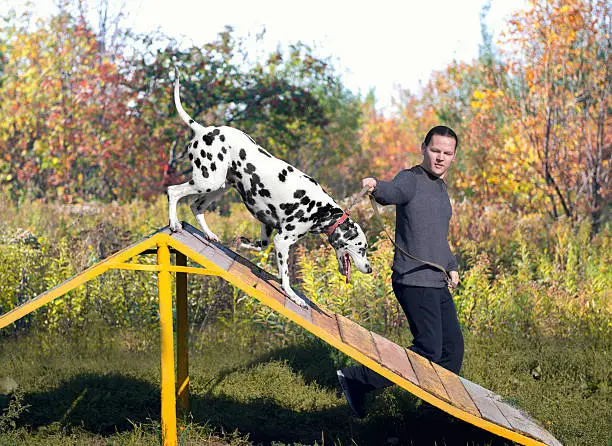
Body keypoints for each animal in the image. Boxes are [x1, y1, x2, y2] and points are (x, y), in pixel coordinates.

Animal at [165, 70, 370, 306]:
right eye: (362, 248)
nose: (370, 269)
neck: (320, 209)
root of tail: (204, 130)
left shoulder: (267, 225)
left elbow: (260, 245)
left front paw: (243, 243)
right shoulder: (282, 241)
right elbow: (286, 276)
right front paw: (293, 296)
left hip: (218, 187)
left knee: (196, 207)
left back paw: (209, 234)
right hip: (207, 182)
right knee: (173, 191)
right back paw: (174, 224)